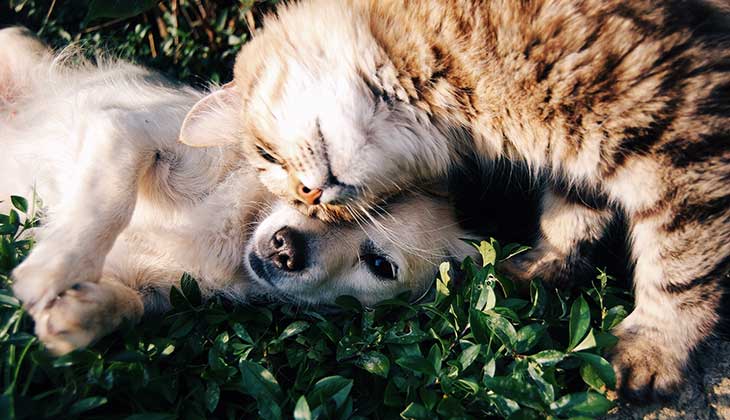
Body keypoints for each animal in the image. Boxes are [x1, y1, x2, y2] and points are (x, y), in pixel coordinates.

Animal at [0, 27, 474, 354]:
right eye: (309, 192)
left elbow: (131, 305)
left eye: (380, 265)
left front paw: (81, 313)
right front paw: (55, 268)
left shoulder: (155, 287)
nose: (286, 249)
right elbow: (108, 202)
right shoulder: (127, 130)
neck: (236, 230)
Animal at [176, 0, 728, 400]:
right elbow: (570, 217)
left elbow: (681, 267)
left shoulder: (682, 137)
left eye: (268, 156)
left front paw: (654, 348)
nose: (310, 197)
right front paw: (540, 267)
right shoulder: (582, 153)